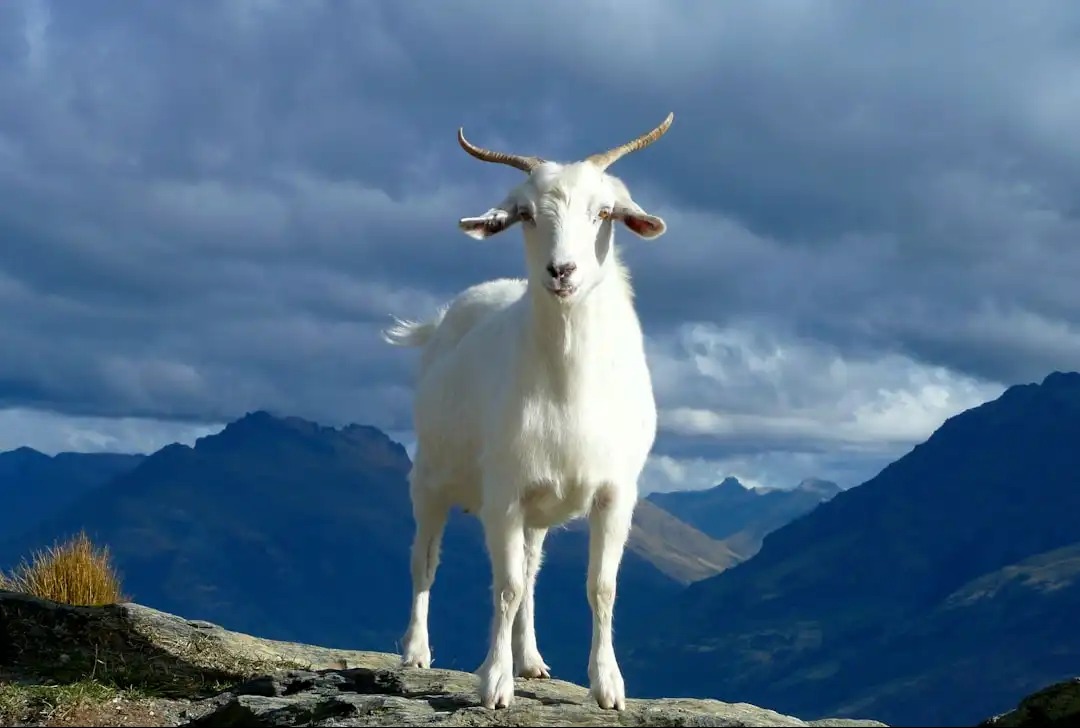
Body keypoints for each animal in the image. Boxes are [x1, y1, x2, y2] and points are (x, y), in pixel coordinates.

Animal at [382, 113, 673, 711]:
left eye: (603, 212)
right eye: (527, 215)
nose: (562, 271)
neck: (569, 384)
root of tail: (443, 319)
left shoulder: (615, 493)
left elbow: (600, 586)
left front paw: (608, 686)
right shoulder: (504, 494)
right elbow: (506, 587)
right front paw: (494, 683)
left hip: (539, 509)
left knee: (533, 572)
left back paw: (531, 660)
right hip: (430, 480)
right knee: (425, 559)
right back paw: (417, 651)